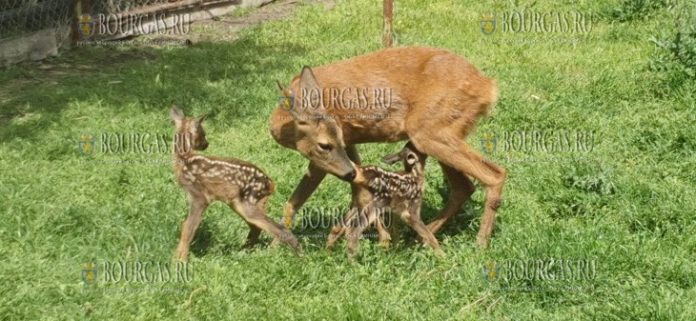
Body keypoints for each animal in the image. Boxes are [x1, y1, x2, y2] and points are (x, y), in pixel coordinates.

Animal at [172, 105, 302, 260]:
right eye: (203, 134)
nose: (206, 144)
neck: (184, 159)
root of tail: (271, 184)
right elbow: (186, 225)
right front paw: (178, 258)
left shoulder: (200, 196)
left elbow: (189, 227)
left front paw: (180, 260)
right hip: (241, 202)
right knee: (256, 227)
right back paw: (244, 251)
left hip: (249, 200)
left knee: (273, 227)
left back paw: (297, 254)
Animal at [270, 46, 506, 246]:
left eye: (325, 144)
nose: (348, 173)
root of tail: (488, 87)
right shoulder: (349, 144)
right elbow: (300, 200)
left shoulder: (328, 154)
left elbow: (300, 199)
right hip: (441, 133)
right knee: (463, 187)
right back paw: (422, 238)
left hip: (430, 132)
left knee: (495, 174)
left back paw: (479, 245)